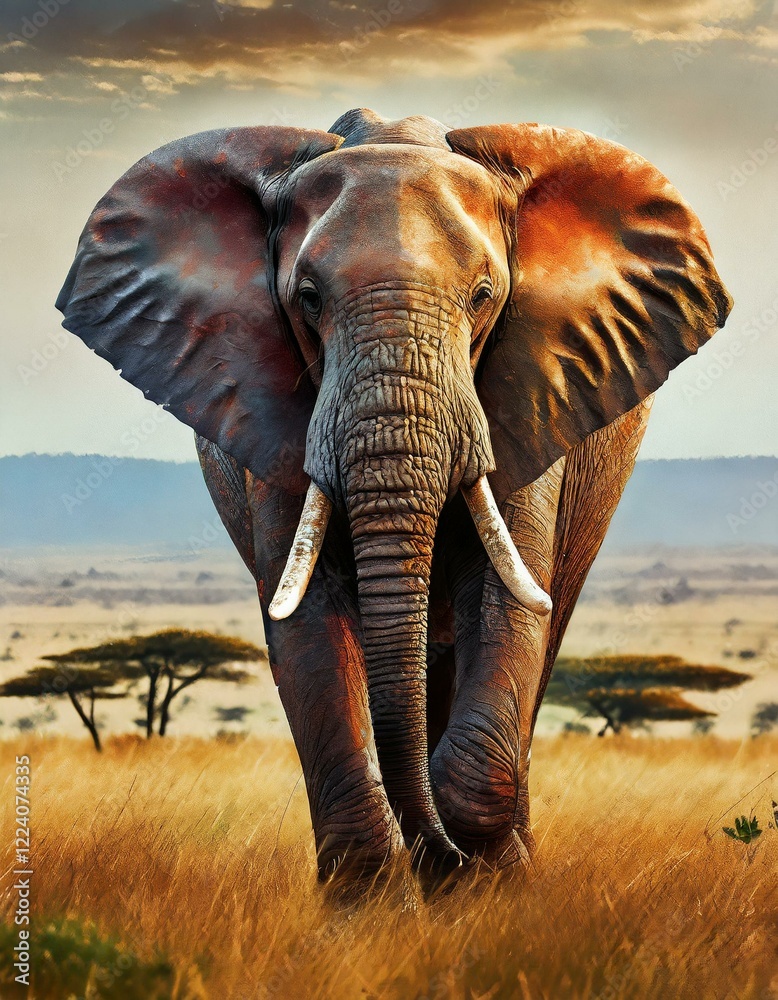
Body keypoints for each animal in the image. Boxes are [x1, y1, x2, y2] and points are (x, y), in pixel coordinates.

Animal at [57, 108, 730, 889]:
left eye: (484, 297)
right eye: (307, 299)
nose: (439, 852)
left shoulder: (529, 389)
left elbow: (502, 603)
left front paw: (480, 880)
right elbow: (308, 619)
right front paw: (381, 897)